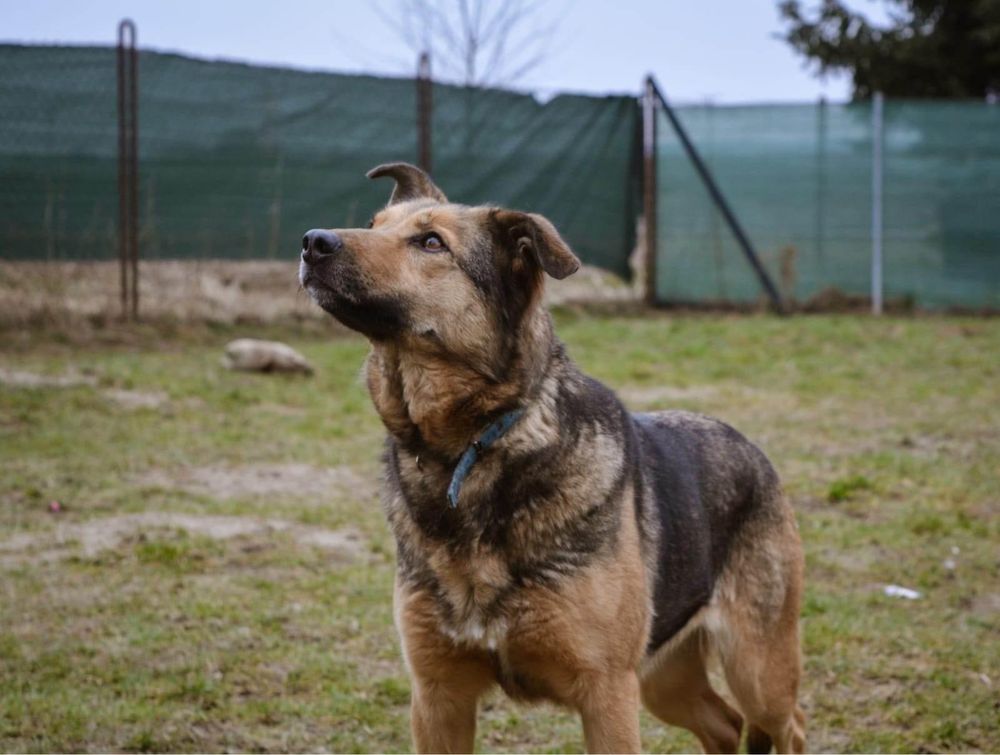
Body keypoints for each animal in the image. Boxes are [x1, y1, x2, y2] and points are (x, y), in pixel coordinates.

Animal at [296, 162, 804, 752]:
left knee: (788, 724)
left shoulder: (607, 694)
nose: (312, 241)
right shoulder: (438, 695)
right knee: (724, 724)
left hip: (756, 669)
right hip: (665, 676)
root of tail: (750, 447)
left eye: (431, 243)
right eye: (374, 225)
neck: (475, 447)